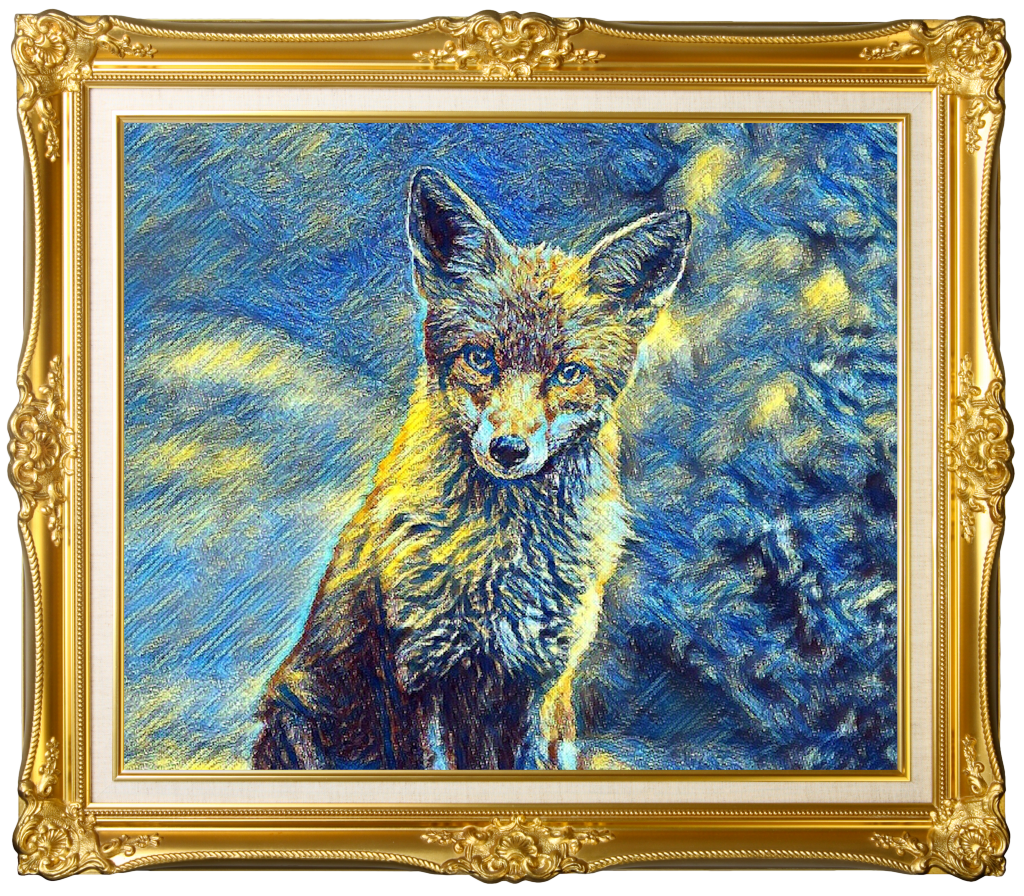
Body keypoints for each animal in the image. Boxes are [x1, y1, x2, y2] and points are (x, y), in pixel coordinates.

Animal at [252, 168, 692, 770]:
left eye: (568, 373)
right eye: (480, 359)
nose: (509, 449)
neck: (505, 560)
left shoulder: (540, 680)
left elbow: (534, 760)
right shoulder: (417, 667)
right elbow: (431, 762)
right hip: (297, 721)